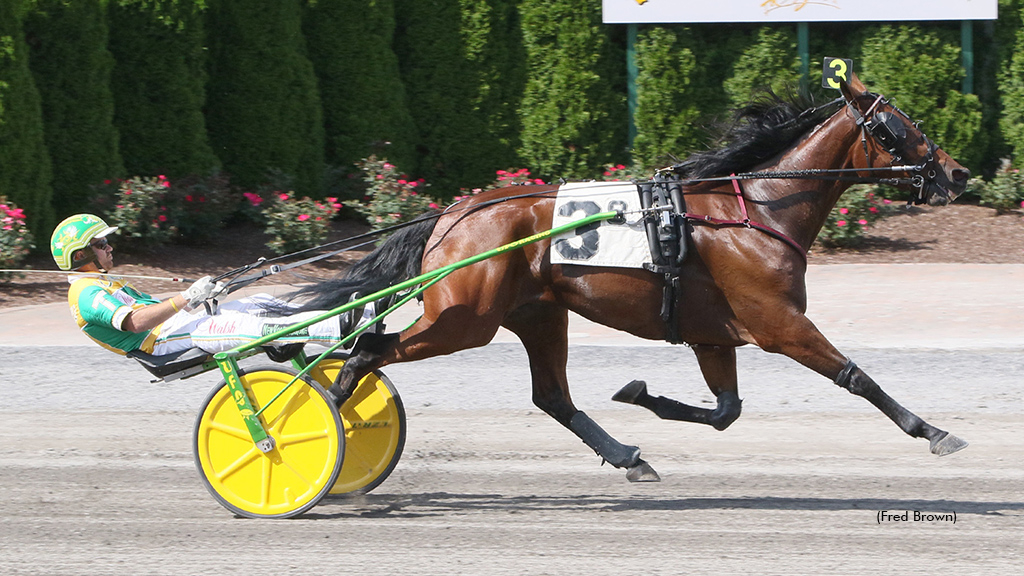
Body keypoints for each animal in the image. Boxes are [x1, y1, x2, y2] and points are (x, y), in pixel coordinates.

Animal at [294, 73, 966, 479]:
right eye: (899, 125)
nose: (956, 173)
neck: (758, 209)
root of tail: (453, 215)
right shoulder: (779, 322)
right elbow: (855, 377)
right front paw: (933, 430)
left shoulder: (713, 334)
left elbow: (726, 411)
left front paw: (641, 395)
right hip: (465, 320)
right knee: (370, 350)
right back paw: (316, 415)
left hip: (537, 313)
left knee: (552, 396)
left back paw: (626, 455)